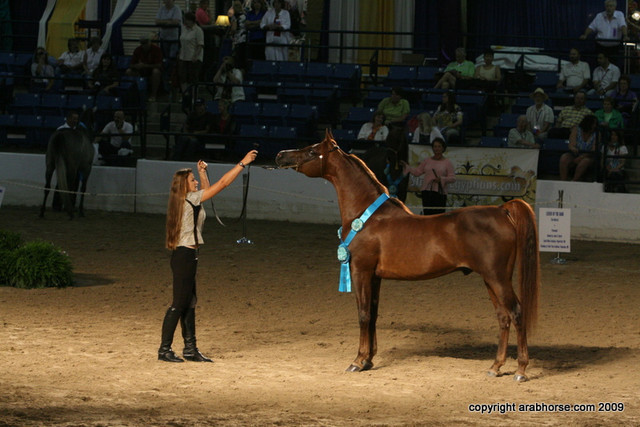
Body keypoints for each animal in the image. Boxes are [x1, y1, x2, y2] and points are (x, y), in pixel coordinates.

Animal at [275, 130, 540, 381]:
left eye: (312, 151)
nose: (280, 156)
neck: (367, 215)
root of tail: (502, 210)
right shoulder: (375, 277)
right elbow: (373, 314)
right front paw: (369, 359)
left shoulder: (360, 271)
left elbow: (363, 314)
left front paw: (358, 361)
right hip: (490, 279)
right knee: (503, 317)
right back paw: (495, 367)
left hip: (498, 278)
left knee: (517, 313)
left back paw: (520, 370)